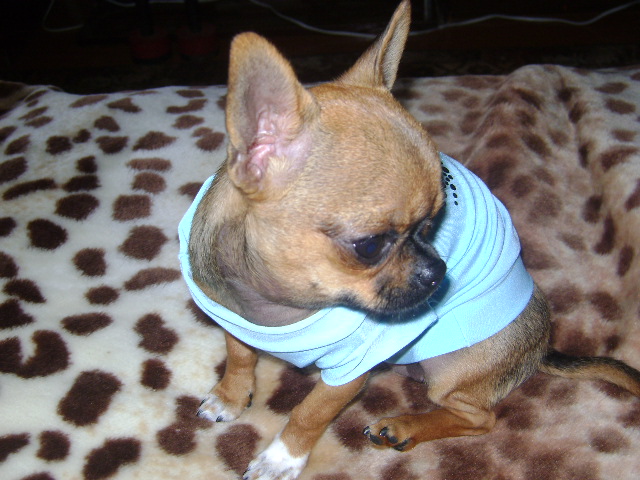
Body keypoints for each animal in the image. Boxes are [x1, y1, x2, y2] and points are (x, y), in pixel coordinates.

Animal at [178, 2, 640, 479]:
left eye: (432, 225)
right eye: (370, 246)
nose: (438, 271)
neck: (276, 305)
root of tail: (542, 347)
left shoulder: (349, 373)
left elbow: (309, 412)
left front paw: (282, 457)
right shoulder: (232, 318)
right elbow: (240, 355)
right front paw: (231, 396)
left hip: (453, 370)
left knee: (480, 419)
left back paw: (402, 427)